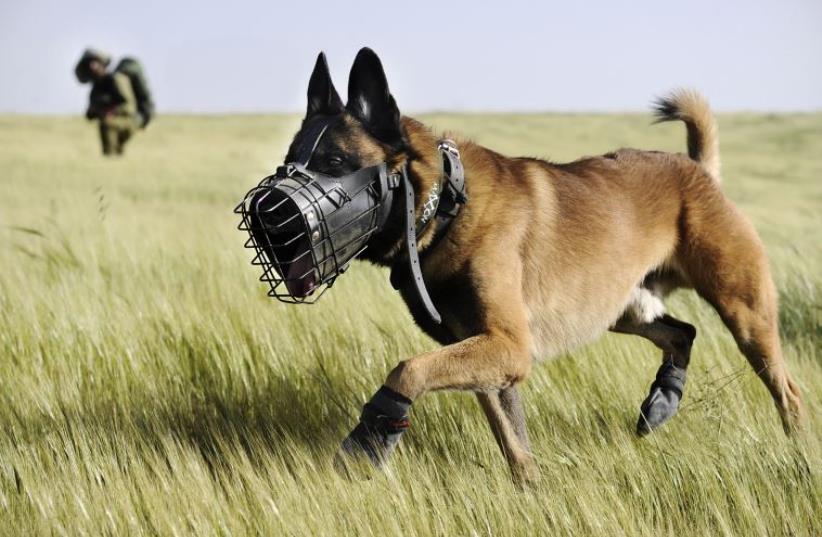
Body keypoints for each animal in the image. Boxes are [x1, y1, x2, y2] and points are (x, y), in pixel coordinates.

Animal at [276, 48, 804, 484]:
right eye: (290, 160)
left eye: (335, 162)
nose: (275, 216)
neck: (446, 206)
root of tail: (696, 169)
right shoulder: (487, 354)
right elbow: (513, 441)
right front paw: (531, 491)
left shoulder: (508, 346)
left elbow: (406, 369)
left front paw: (371, 437)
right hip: (624, 309)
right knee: (682, 333)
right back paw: (662, 401)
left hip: (744, 313)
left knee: (787, 389)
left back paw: (795, 452)